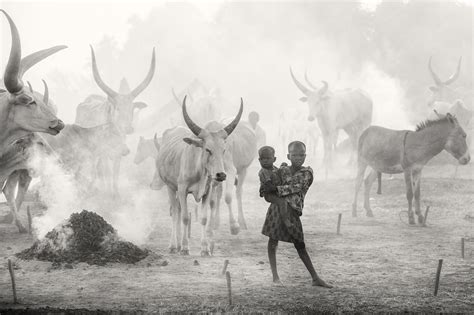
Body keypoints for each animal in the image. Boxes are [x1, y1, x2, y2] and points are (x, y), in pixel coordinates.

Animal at [74, 47, 156, 196]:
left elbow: (115, 174)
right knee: (96, 168)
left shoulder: (119, 153)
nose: (129, 128)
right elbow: (107, 171)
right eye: (117, 108)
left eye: (132, 108)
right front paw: (107, 192)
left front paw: (116, 193)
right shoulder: (104, 152)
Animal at [156, 96, 243, 256]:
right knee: (175, 213)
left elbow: (203, 218)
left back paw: (178, 244)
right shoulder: (182, 189)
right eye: (207, 149)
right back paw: (174, 245)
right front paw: (185, 247)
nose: (221, 175)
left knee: (177, 210)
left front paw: (205, 248)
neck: (200, 171)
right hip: (170, 187)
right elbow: (184, 217)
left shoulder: (207, 191)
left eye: (223, 150)